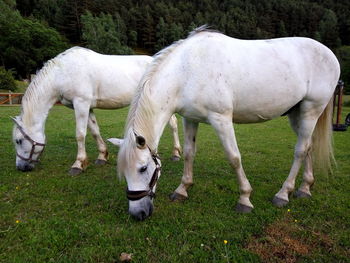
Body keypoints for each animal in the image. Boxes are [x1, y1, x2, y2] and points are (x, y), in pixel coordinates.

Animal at [12, 47, 182, 175]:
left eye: (18, 140)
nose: (21, 167)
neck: (62, 73)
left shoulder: (81, 103)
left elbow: (80, 134)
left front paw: (78, 164)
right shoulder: (87, 107)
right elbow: (94, 131)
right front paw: (102, 156)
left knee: (173, 125)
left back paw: (176, 154)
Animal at [110, 26, 340, 221]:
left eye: (143, 168)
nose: (138, 214)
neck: (187, 70)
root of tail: (328, 53)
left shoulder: (221, 119)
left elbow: (234, 158)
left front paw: (245, 199)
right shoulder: (190, 119)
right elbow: (189, 153)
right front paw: (182, 190)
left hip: (311, 110)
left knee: (300, 150)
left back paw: (283, 194)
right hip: (296, 114)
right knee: (308, 146)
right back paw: (304, 188)